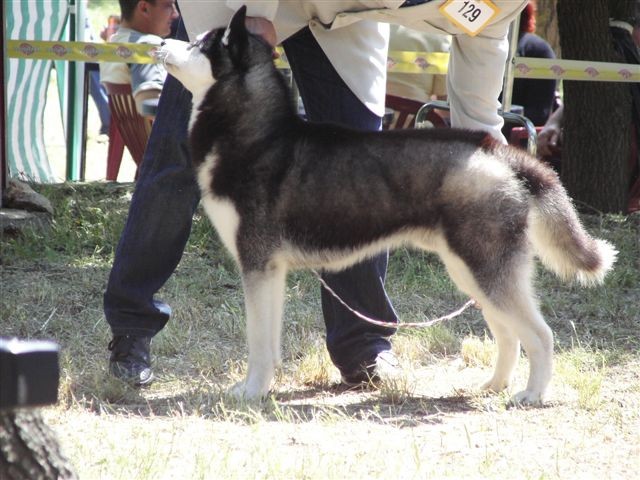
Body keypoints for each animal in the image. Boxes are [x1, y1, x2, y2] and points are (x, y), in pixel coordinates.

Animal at [158, 6, 616, 404]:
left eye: (199, 44)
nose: (160, 41)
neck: (255, 135)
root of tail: (500, 153)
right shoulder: (271, 271)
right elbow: (267, 340)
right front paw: (260, 387)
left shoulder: (258, 263)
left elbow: (257, 340)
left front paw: (252, 391)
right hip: (471, 271)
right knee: (507, 334)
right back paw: (493, 385)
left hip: (487, 270)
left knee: (540, 335)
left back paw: (532, 394)